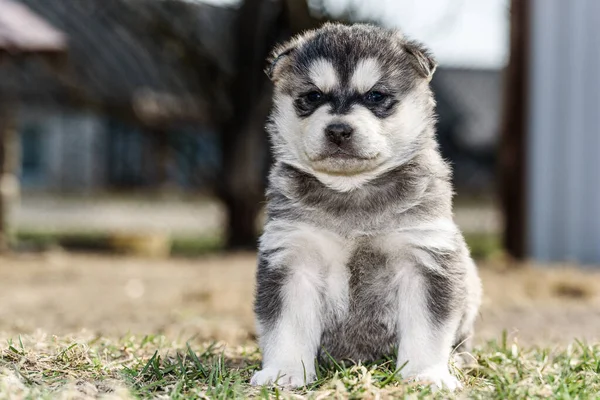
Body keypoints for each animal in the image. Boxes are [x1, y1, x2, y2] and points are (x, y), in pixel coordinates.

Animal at [251, 22, 480, 390]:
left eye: (375, 96)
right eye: (313, 96)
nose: (338, 130)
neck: (351, 190)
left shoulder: (425, 257)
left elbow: (428, 330)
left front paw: (425, 373)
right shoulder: (293, 256)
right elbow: (287, 325)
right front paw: (283, 371)